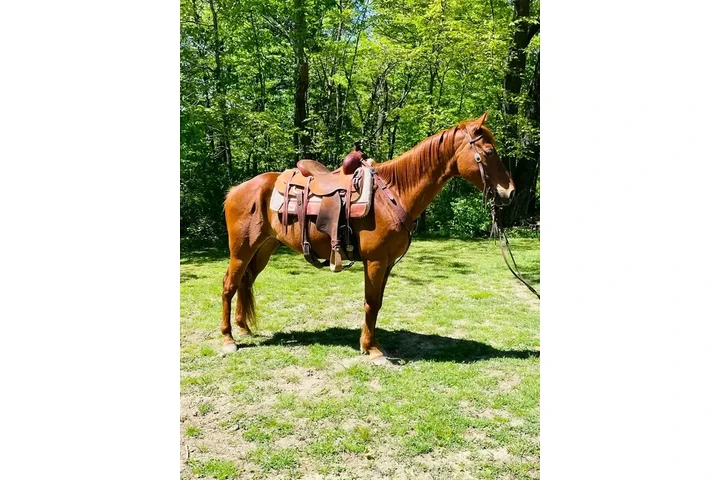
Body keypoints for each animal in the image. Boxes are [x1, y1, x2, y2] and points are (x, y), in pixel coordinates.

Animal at [220, 112, 515, 358]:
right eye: (489, 151)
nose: (510, 192)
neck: (393, 195)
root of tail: (236, 189)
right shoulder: (375, 261)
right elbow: (371, 303)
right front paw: (372, 350)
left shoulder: (387, 264)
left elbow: (377, 303)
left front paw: (372, 343)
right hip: (241, 250)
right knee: (229, 285)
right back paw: (228, 339)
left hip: (263, 249)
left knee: (246, 283)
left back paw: (243, 327)